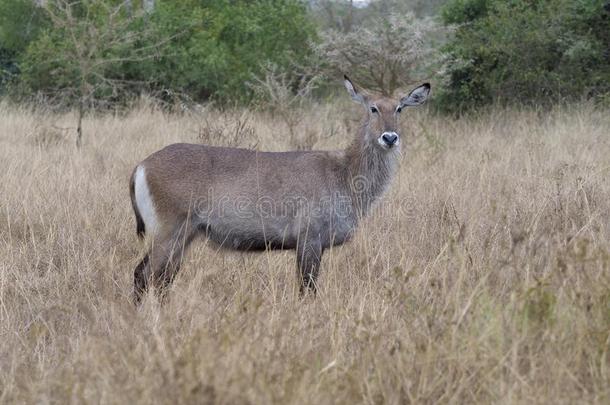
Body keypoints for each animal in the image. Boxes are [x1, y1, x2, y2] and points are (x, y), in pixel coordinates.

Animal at [128, 76, 428, 304]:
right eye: (373, 108)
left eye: (400, 108)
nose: (389, 137)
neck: (344, 174)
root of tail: (142, 165)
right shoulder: (310, 240)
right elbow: (307, 290)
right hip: (169, 231)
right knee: (144, 274)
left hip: (185, 236)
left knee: (162, 279)